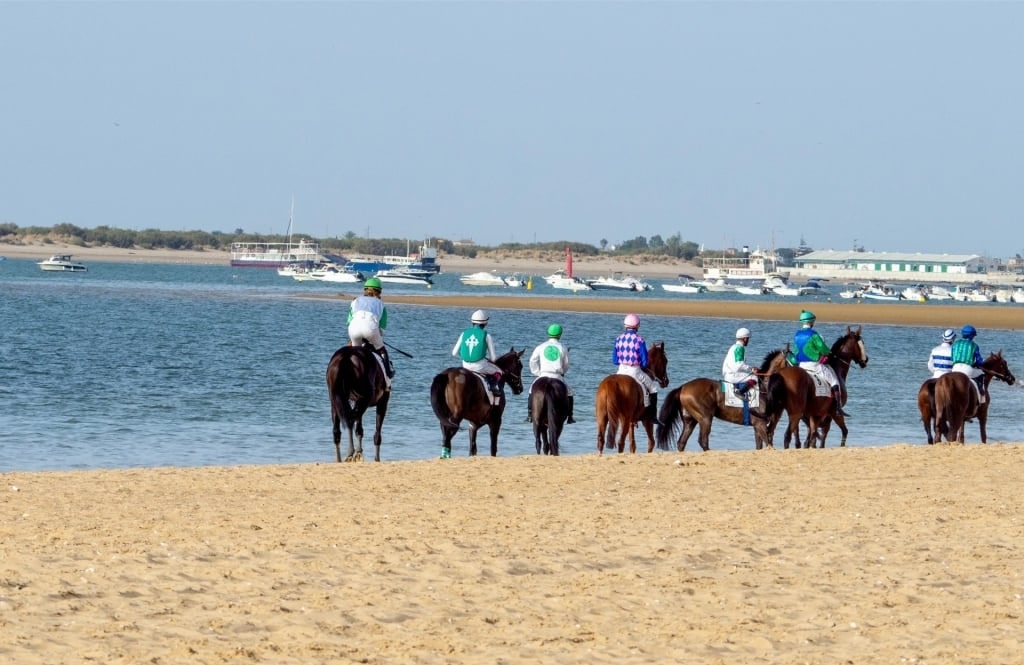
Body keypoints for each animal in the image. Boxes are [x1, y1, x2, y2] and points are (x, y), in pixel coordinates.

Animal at [655, 349, 784, 452]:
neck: (763, 388)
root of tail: (683, 387)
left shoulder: (757, 426)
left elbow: (760, 446)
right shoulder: (760, 424)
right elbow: (769, 445)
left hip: (690, 420)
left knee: (682, 442)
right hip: (705, 418)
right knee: (703, 440)